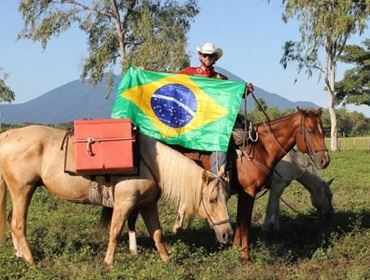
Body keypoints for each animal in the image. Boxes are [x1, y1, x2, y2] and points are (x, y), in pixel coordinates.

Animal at [0, 126, 231, 268]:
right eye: (212, 200)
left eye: (226, 197)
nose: (227, 233)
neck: (150, 163)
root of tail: (5, 137)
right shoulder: (124, 203)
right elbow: (115, 231)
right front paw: (109, 262)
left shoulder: (148, 205)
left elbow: (157, 234)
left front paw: (167, 260)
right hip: (23, 190)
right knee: (18, 224)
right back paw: (31, 260)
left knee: (11, 220)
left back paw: (19, 255)